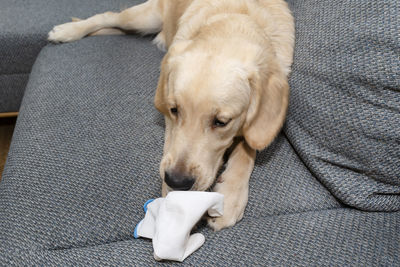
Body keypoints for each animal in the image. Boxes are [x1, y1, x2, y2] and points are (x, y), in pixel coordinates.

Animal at [48, 0, 296, 230]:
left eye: (221, 122)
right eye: (174, 109)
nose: (177, 181)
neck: (234, 20)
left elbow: (248, 147)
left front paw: (231, 193)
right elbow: (171, 145)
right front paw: (173, 204)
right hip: (144, 18)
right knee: (109, 16)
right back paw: (67, 31)